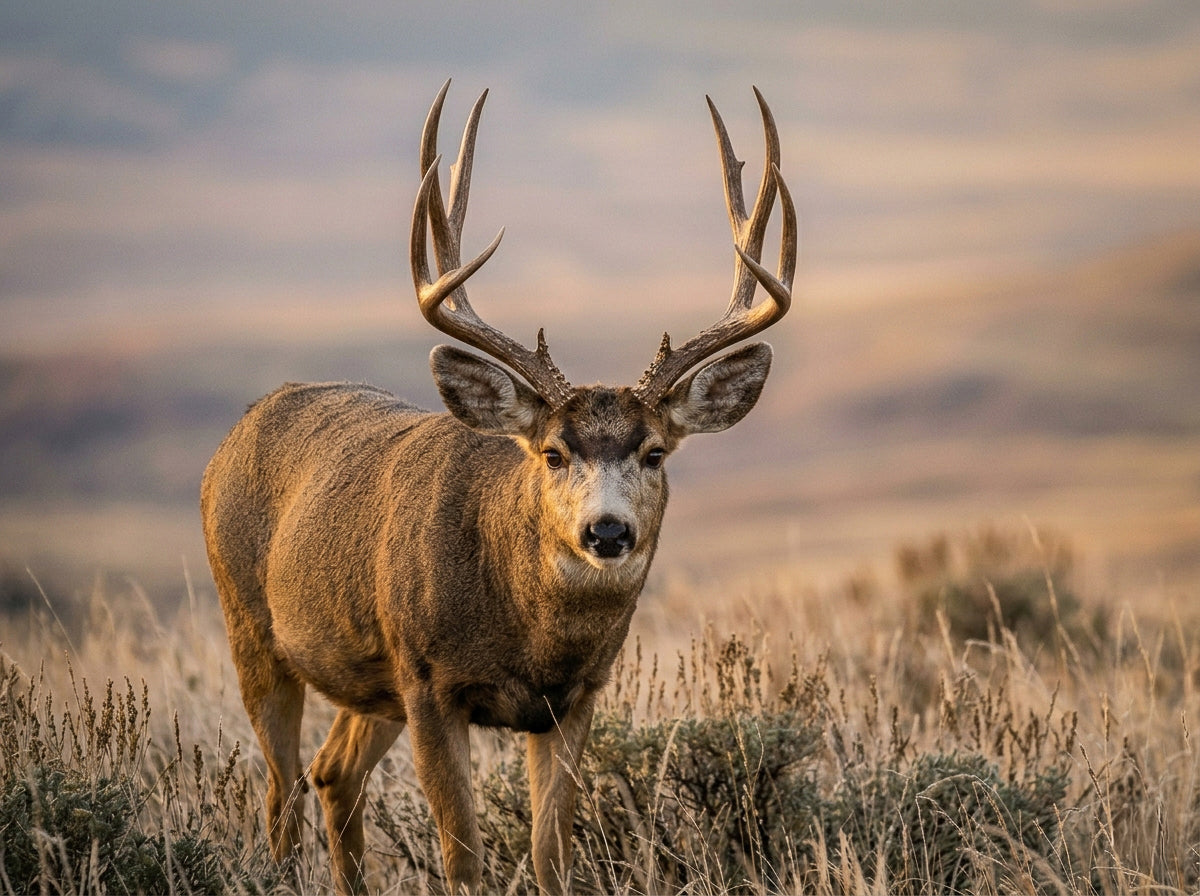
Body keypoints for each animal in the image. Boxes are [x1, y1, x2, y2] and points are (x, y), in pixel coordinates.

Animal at [200, 80, 795, 895]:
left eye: (653, 452)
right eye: (551, 452)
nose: (607, 530)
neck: (528, 631)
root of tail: (238, 430)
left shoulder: (575, 700)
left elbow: (552, 853)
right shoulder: (428, 683)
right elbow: (464, 858)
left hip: (371, 679)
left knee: (330, 773)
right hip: (255, 629)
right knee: (281, 792)